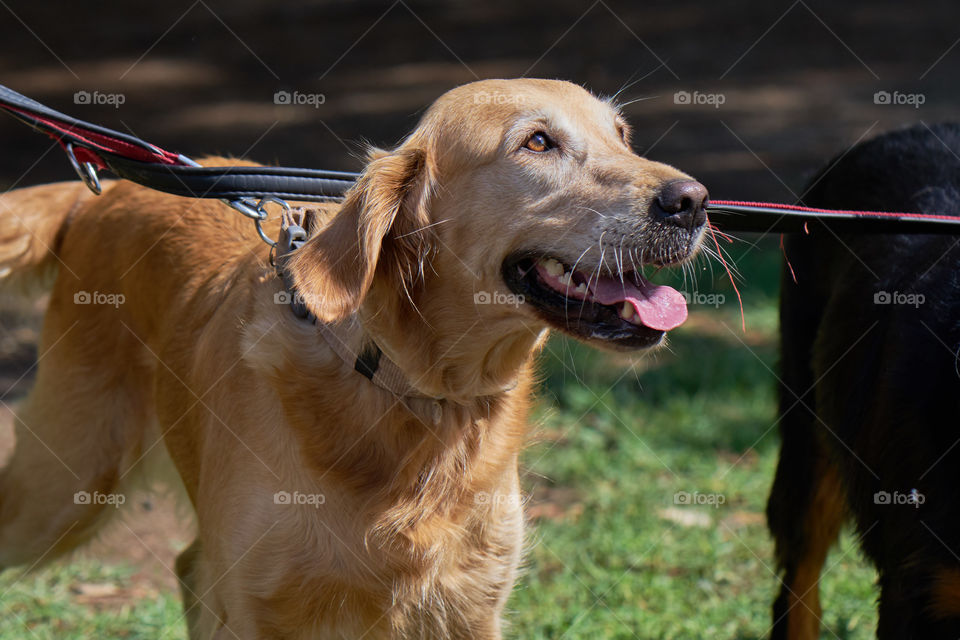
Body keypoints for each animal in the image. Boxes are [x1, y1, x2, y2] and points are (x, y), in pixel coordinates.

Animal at [0, 81, 704, 640]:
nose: (693, 200)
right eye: (536, 142)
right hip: (64, 485)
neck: (409, 389)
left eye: (622, 136)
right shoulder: (257, 606)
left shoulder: (468, 607)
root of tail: (103, 191)